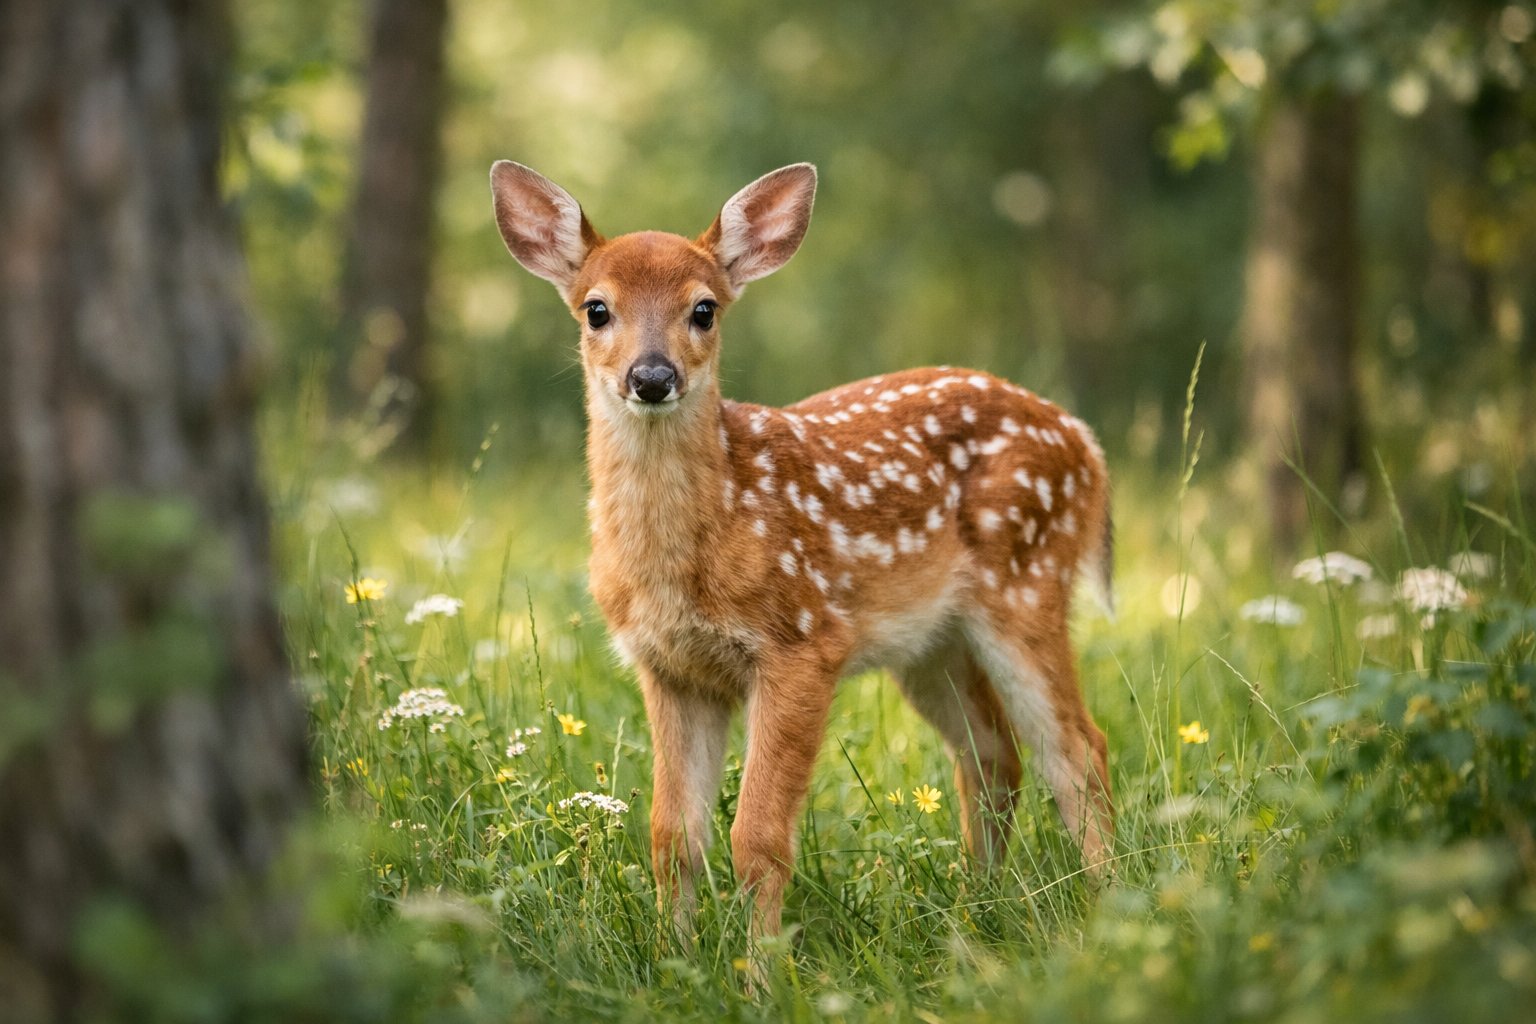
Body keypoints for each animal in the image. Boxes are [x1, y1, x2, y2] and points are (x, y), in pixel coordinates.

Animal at [489, 160, 1115, 946]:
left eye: (704, 309)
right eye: (596, 309)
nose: (653, 377)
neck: (696, 551)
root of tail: (1086, 443)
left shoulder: (803, 643)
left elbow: (757, 838)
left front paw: (759, 968)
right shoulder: (669, 668)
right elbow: (672, 837)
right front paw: (674, 957)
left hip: (1027, 583)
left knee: (1078, 751)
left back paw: (1111, 906)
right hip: (931, 642)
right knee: (992, 754)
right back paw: (979, 909)